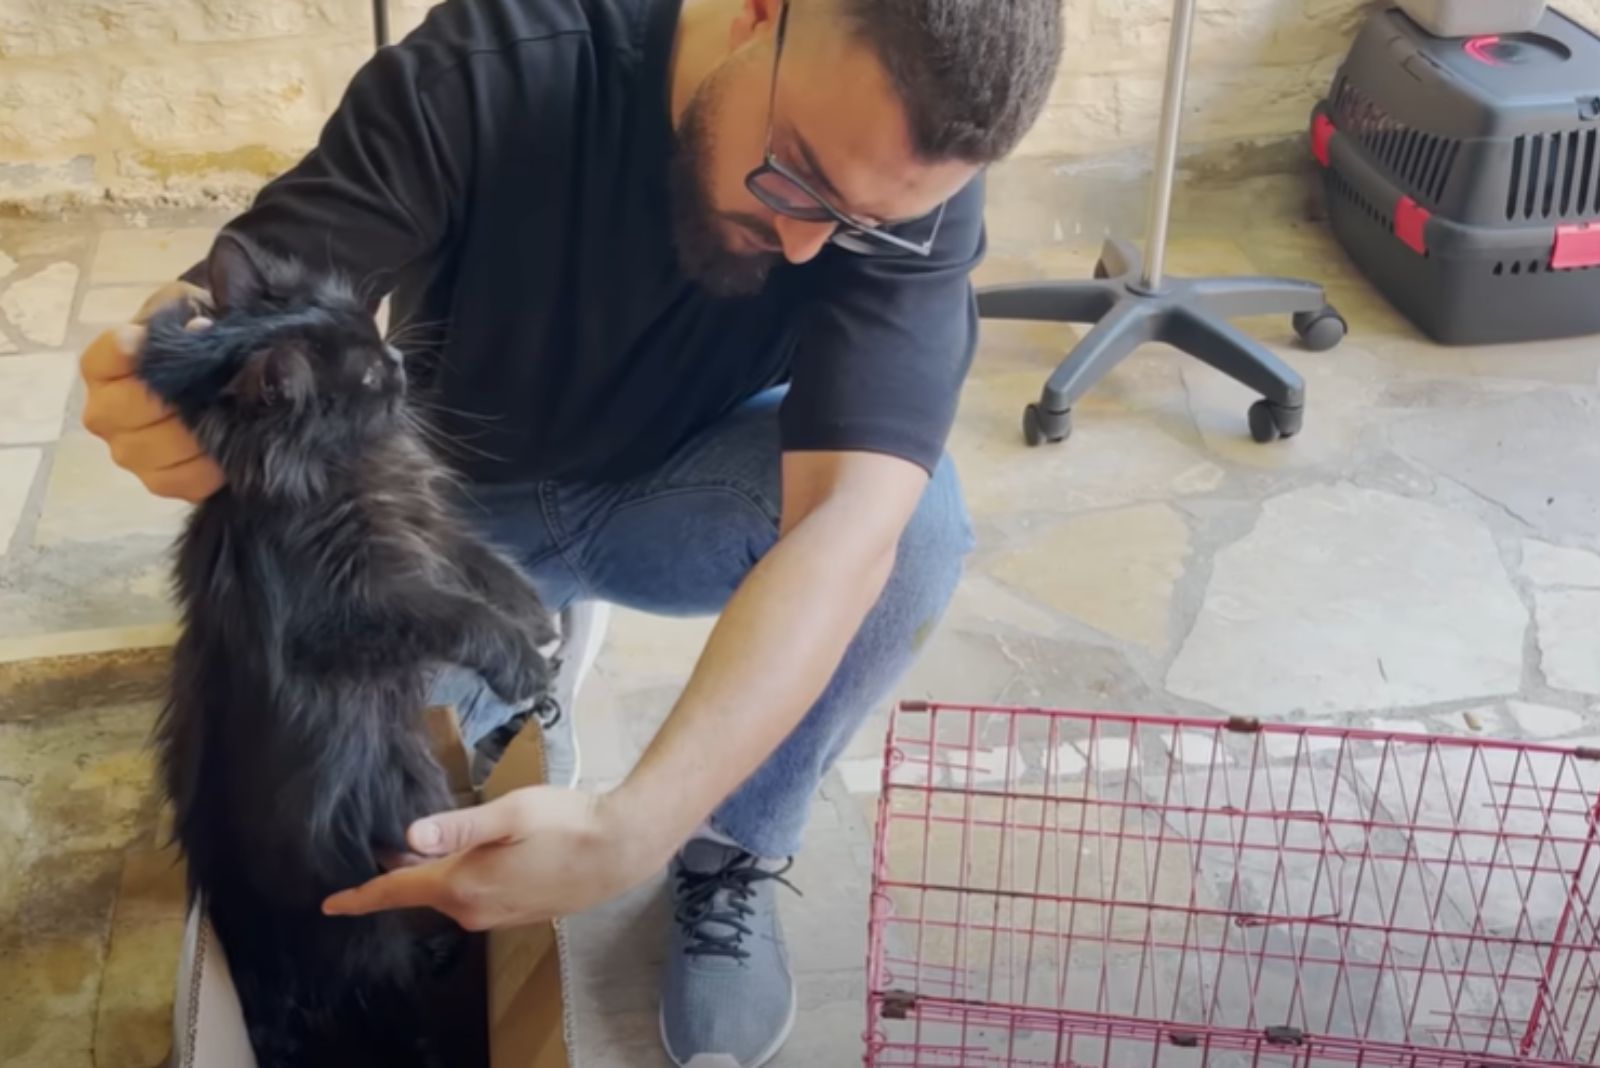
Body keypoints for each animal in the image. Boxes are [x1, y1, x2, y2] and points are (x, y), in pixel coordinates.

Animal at [139, 233, 563, 1068]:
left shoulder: (424, 530)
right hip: (372, 935)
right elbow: (458, 613)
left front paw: (534, 616)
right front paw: (520, 659)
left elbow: (483, 565)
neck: (344, 469)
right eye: (366, 376)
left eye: (372, 329)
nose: (397, 358)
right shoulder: (355, 608)